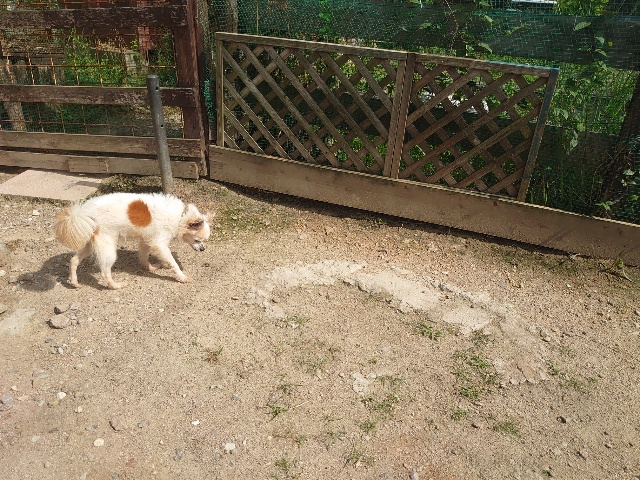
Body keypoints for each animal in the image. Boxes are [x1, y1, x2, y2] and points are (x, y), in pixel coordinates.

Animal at [53, 192, 212, 289]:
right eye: (197, 240)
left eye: (203, 241)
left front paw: (149, 268)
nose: (203, 249)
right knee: (105, 271)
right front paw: (182, 277)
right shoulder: (160, 245)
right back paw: (115, 285)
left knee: (73, 260)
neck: (180, 217)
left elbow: (144, 256)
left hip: (90, 244)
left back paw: (74, 282)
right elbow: (173, 263)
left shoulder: (146, 240)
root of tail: (84, 212)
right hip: (108, 246)